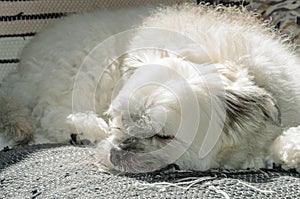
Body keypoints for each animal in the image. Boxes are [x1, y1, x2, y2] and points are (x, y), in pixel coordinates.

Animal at [0, 3, 300, 173]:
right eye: (118, 121)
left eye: (164, 137)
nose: (118, 148)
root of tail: (19, 72)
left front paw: (286, 151)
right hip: (87, 71)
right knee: (49, 114)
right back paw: (83, 130)